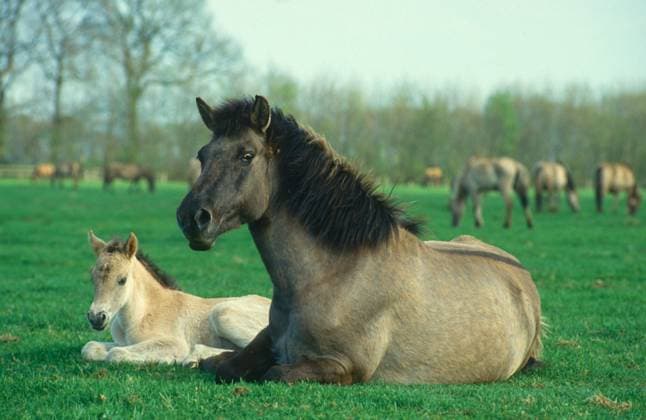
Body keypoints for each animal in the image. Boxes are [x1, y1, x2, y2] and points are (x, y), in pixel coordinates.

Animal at [82, 231, 270, 365]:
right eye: (91, 277)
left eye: (122, 279)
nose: (96, 318)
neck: (143, 313)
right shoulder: (123, 342)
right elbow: (89, 348)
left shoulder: (173, 343)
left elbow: (115, 354)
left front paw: (168, 359)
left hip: (223, 313)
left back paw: (192, 358)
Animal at [175, 95, 542, 385]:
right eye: (203, 155)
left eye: (246, 155)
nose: (192, 218)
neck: (332, 276)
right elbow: (219, 366)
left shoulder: (345, 366)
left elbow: (274, 373)